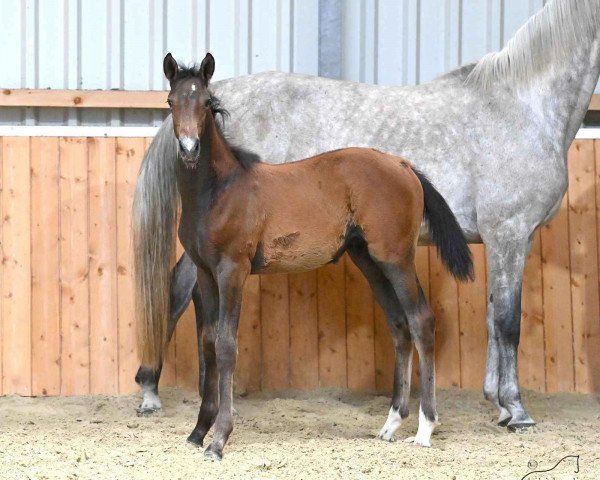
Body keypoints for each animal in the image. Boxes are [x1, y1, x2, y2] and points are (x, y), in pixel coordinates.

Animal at [136, 0, 600, 434]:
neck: (521, 105)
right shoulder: (509, 233)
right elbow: (507, 322)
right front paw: (516, 410)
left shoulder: (510, 238)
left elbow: (492, 317)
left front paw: (498, 404)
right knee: (180, 290)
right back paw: (153, 392)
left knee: (189, 292)